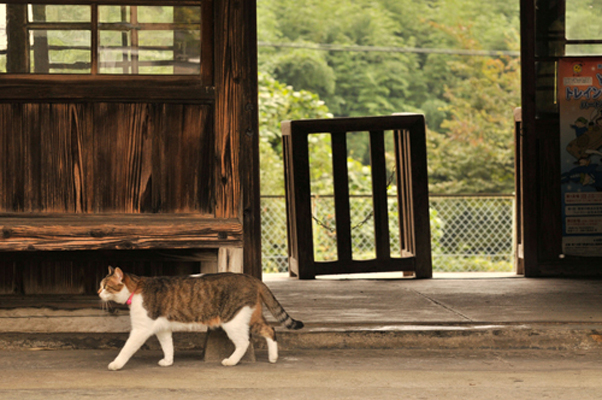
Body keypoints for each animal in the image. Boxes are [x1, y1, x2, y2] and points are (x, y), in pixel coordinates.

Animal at [99, 268, 304, 370]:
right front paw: (168, 361)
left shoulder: (141, 329)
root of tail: (251, 278)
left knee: (244, 342)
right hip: (250, 315)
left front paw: (116, 364)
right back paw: (273, 357)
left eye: (105, 286)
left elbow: (126, 349)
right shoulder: (163, 328)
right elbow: (168, 346)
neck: (136, 288)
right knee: (270, 330)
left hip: (233, 320)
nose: (98, 292)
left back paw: (231, 361)